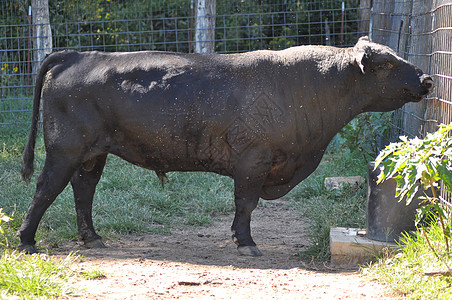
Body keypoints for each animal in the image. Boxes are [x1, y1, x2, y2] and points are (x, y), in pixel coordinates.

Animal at [18, 37, 434, 255]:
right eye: (386, 63)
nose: (428, 79)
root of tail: (79, 54)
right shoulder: (253, 158)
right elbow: (245, 203)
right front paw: (246, 242)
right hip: (65, 150)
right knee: (45, 190)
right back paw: (26, 242)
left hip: (93, 154)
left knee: (83, 190)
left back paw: (91, 238)